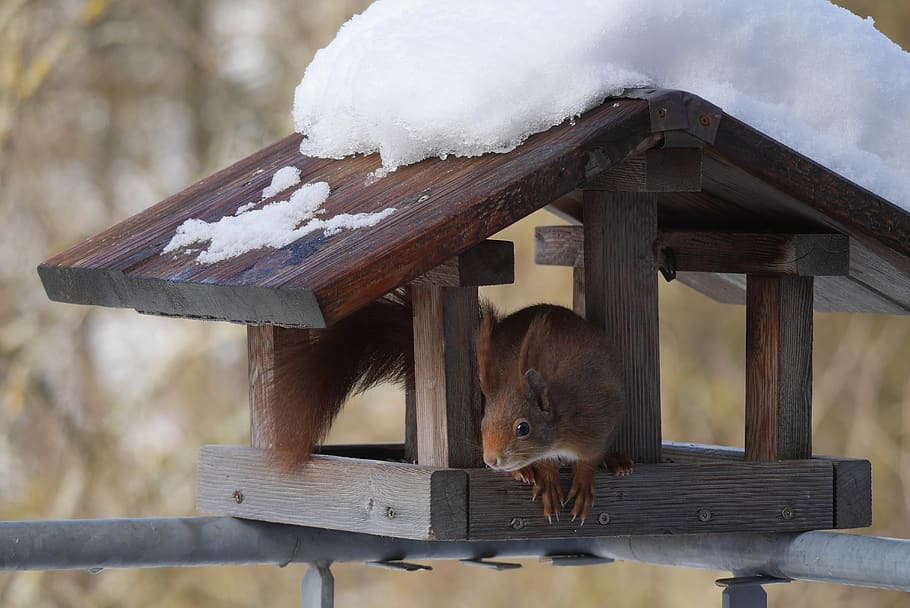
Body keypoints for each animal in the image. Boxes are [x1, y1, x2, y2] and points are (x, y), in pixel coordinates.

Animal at [264, 289, 632, 523]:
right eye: (482, 422)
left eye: (523, 428)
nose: (491, 460)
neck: (561, 421)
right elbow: (546, 464)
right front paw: (547, 479)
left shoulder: (598, 421)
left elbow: (589, 457)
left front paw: (583, 482)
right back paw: (524, 471)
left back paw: (618, 460)